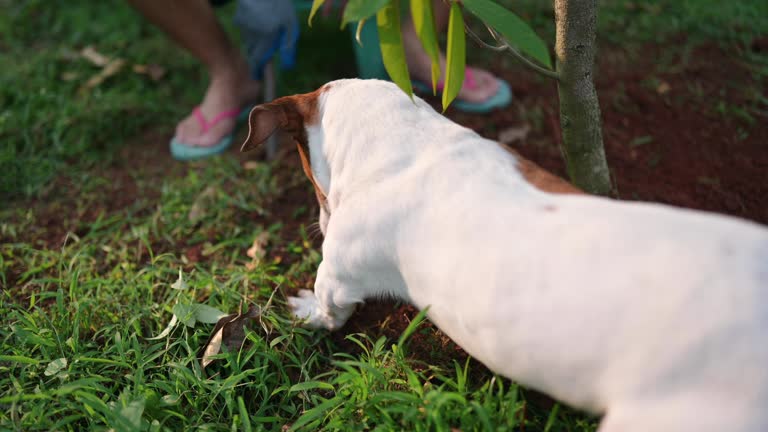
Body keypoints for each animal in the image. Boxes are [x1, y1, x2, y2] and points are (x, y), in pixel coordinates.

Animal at [242, 79, 768, 430]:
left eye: (313, 179)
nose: (322, 221)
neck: (407, 143)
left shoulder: (337, 273)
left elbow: (328, 308)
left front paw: (306, 311)